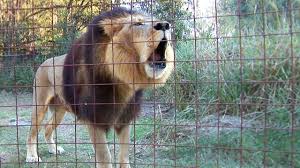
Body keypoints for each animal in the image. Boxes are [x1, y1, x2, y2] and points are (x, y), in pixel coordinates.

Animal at [27, 7, 175, 167]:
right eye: (138, 24)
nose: (165, 25)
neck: (121, 82)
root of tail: (45, 61)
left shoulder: (124, 118)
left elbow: (124, 155)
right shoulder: (94, 119)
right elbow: (105, 156)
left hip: (60, 110)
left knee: (47, 128)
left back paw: (53, 149)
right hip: (39, 106)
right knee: (32, 132)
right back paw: (32, 157)